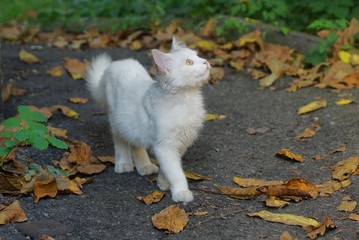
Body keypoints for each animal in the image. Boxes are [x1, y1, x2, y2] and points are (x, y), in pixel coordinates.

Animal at [87, 37, 211, 202]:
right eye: (189, 62)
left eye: (198, 56)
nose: (206, 62)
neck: (185, 99)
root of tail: (114, 65)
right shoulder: (165, 145)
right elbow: (176, 172)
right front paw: (181, 192)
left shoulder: (182, 142)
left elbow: (169, 168)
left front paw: (163, 183)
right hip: (117, 122)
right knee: (120, 142)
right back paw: (124, 163)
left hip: (134, 126)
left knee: (135, 144)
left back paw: (145, 166)